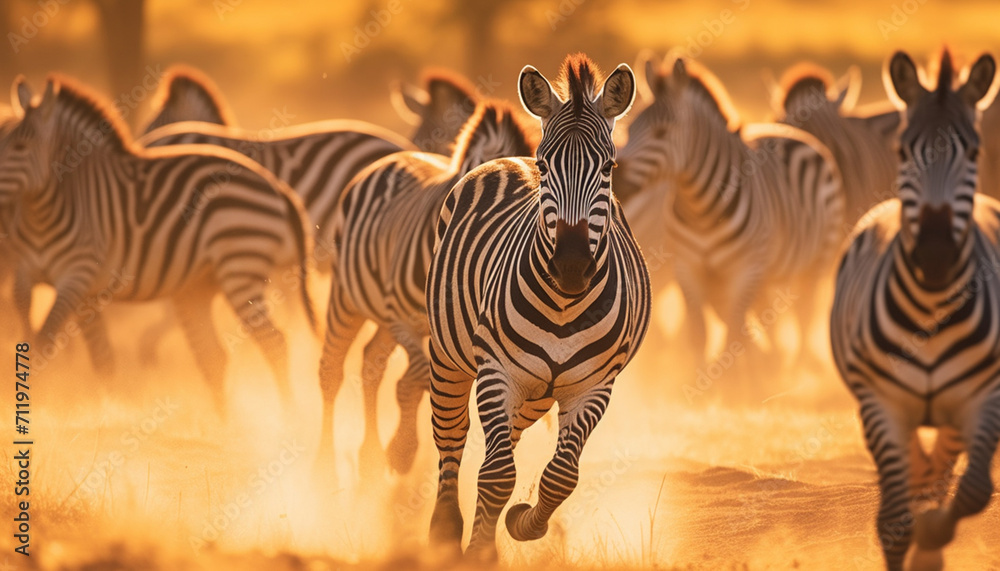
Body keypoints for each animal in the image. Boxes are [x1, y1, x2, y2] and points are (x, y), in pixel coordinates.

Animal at [0, 75, 316, 412]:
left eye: (20, 147)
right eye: (2, 144)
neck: (49, 211)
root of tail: (277, 186)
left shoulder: (77, 275)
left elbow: (46, 338)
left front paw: (41, 399)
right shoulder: (34, 277)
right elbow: (90, 355)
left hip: (240, 270)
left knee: (274, 342)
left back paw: (288, 417)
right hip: (201, 284)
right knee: (214, 356)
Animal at [318, 100, 535, 476]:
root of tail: (396, 157)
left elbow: (413, 382)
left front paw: (399, 451)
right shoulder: (402, 319)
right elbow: (417, 377)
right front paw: (403, 450)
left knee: (371, 364)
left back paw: (369, 456)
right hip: (347, 299)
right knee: (332, 368)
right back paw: (326, 465)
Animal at [426, 54, 651, 559]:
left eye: (609, 167)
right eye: (548, 167)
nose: (571, 266)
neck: (564, 306)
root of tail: (512, 158)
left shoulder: (593, 387)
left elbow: (559, 476)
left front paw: (521, 523)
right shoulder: (498, 371)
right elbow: (496, 475)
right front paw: (477, 555)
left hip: (535, 394)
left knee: (504, 441)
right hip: (450, 360)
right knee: (451, 437)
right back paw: (444, 533)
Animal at [614, 53, 844, 386]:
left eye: (662, 132)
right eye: (629, 130)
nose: (616, 180)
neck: (701, 210)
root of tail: (798, 136)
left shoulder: (744, 271)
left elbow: (732, 334)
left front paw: (732, 388)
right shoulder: (688, 269)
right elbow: (700, 334)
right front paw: (704, 384)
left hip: (815, 264)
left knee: (804, 318)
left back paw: (792, 375)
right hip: (764, 274)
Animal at [830, 49, 999, 570]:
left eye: (975, 154)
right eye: (903, 153)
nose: (936, 255)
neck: (930, 311)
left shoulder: (984, 398)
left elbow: (973, 491)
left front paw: (931, 538)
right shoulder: (879, 402)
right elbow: (893, 522)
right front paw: (916, 534)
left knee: (943, 466)